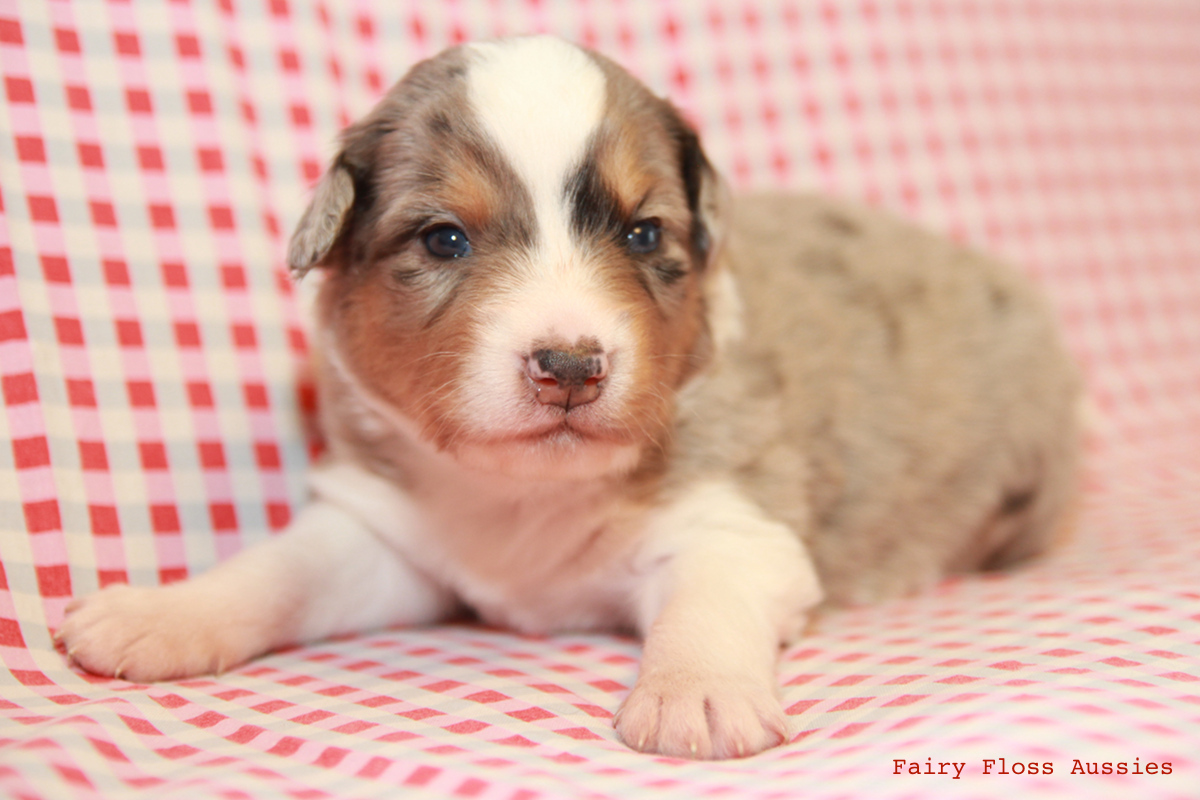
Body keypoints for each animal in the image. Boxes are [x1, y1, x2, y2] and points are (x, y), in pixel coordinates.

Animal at [58, 34, 1080, 762]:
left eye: (642, 232)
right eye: (443, 239)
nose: (571, 365)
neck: (526, 494)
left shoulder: (734, 521)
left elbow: (710, 599)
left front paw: (695, 694)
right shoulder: (388, 530)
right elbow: (279, 570)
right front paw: (159, 614)